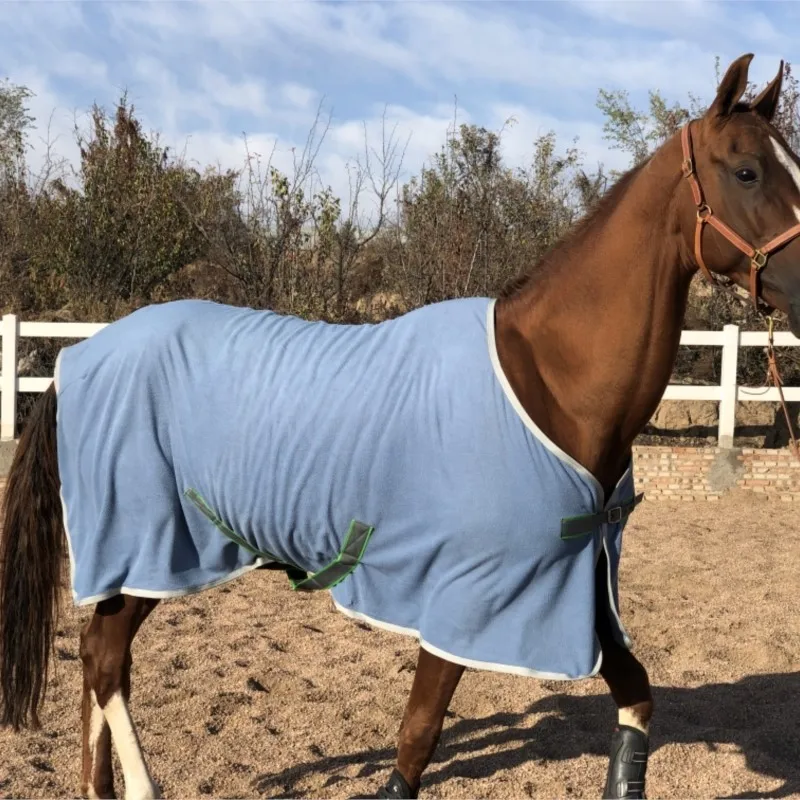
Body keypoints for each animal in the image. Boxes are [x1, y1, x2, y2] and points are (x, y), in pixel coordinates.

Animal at [2, 53, 800, 800]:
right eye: (748, 170)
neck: (549, 380)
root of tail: (80, 355)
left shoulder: (576, 586)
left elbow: (637, 699)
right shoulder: (466, 595)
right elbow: (416, 739)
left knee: (101, 664)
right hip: (144, 551)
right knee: (105, 661)